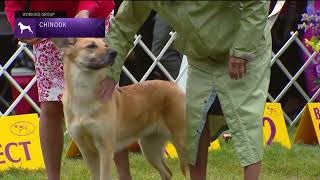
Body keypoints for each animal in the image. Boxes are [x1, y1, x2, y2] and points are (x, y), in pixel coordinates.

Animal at [52, 38, 188, 180]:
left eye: (106, 45)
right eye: (91, 46)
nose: (114, 53)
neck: (84, 96)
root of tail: (174, 86)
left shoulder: (105, 149)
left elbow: (104, 176)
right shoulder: (86, 150)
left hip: (181, 141)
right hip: (149, 147)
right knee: (167, 172)